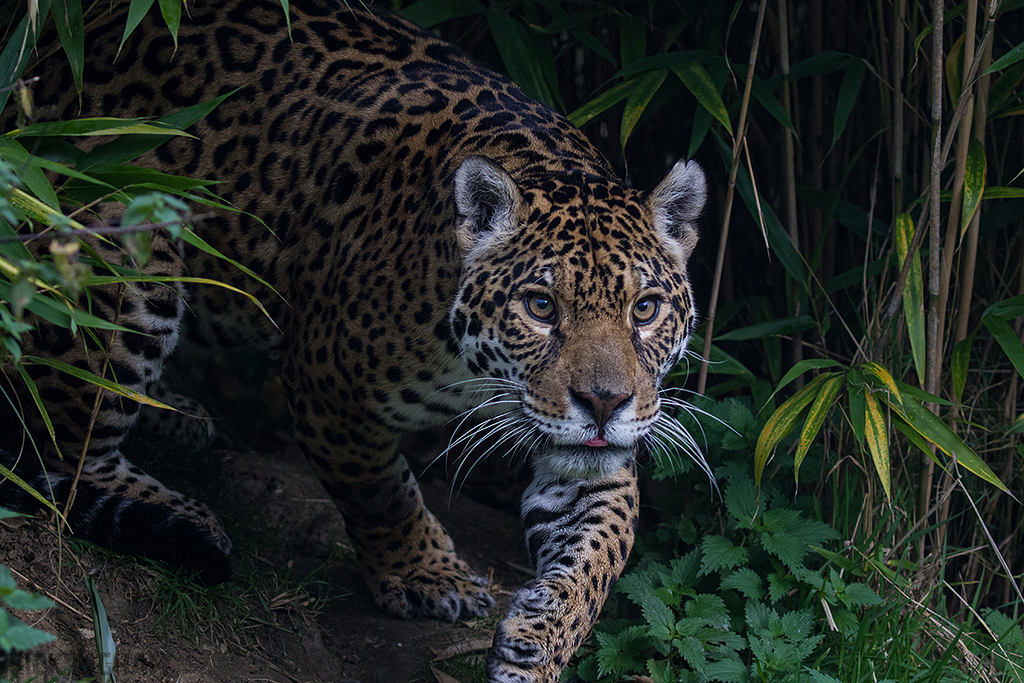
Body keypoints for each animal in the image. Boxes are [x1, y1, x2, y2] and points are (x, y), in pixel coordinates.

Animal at [0, 1, 707, 680]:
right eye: (540, 306)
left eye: (645, 309)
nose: (604, 404)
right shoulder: (325, 386)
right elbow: (380, 492)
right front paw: (426, 576)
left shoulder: (598, 449)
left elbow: (601, 550)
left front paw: (540, 642)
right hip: (124, 246)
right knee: (58, 453)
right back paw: (186, 515)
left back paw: (180, 417)